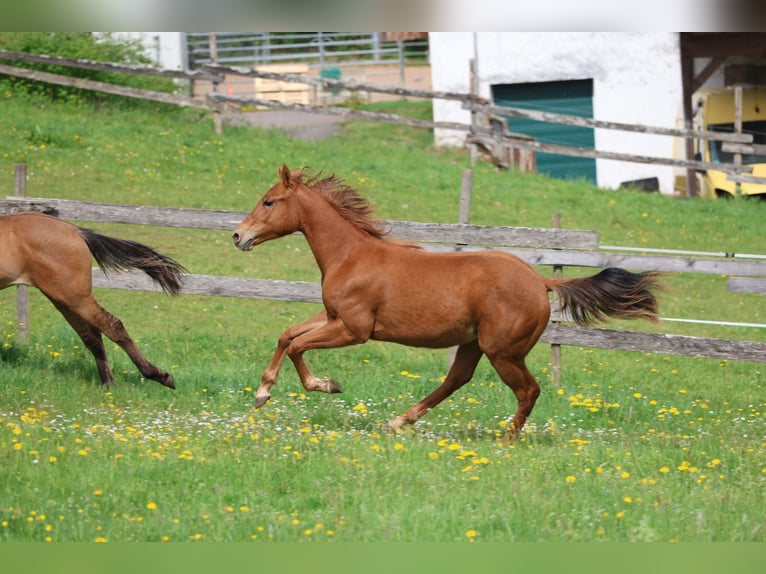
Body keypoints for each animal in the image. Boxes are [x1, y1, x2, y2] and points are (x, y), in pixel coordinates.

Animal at [0, 211, 186, 388]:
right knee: (91, 335)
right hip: (64, 298)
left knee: (111, 326)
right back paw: (109, 384)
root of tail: (76, 231)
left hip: (74, 297)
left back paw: (159, 376)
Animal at [232, 165, 662, 441]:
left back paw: (506, 440)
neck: (351, 256)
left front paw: (325, 385)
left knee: (528, 391)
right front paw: (263, 392)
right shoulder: (332, 316)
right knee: (456, 379)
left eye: (269, 202)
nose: (238, 236)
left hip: (502, 350)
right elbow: (287, 335)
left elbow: (298, 346)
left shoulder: (354, 329)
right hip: (473, 343)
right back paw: (398, 422)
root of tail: (541, 280)